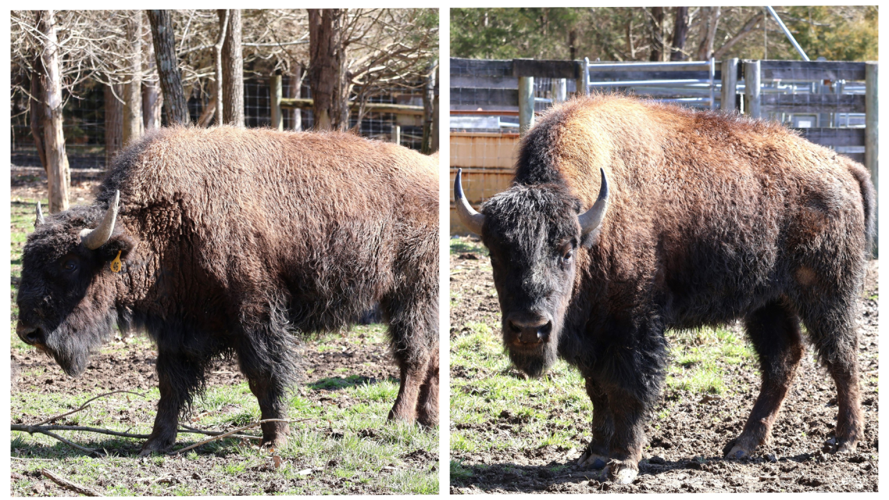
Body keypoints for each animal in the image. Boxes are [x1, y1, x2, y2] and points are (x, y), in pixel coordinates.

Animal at [17, 126, 439, 454]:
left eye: (70, 264)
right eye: (27, 260)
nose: (28, 332)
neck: (160, 224)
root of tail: (432, 173)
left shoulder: (255, 313)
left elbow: (263, 374)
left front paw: (274, 439)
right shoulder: (178, 325)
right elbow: (170, 383)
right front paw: (154, 443)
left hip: (410, 293)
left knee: (413, 356)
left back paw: (397, 420)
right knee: (431, 353)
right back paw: (429, 419)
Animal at [455, 95, 874, 484]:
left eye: (566, 250)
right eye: (496, 253)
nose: (530, 329)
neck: (596, 223)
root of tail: (844, 167)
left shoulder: (632, 324)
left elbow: (628, 388)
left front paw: (623, 464)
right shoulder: (593, 333)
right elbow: (598, 391)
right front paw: (593, 455)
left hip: (826, 291)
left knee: (842, 355)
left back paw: (844, 440)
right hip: (768, 304)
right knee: (782, 360)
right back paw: (742, 445)